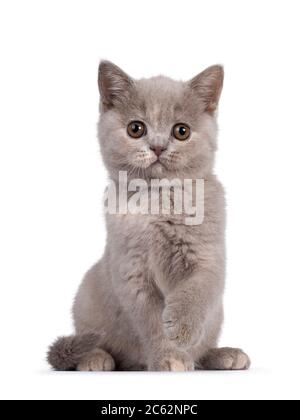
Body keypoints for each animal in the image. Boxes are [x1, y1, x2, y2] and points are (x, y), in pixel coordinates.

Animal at [48, 60, 251, 370]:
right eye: (136, 128)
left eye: (181, 131)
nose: (157, 147)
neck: (159, 201)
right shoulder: (132, 272)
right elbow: (152, 322)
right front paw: (169, 357)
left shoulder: (208, 257)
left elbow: (198, 292)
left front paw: (182, 328)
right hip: (87, 294)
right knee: (92, 339)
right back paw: (96, 358)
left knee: (204, 345)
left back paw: (225, 355)